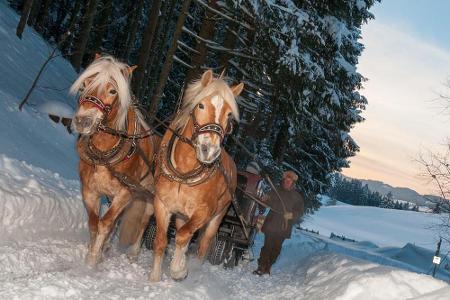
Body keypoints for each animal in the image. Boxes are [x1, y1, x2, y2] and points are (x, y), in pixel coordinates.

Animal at [69, 55, 159, 266]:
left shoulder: (125, 193)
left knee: (143, 222)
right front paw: (94, 251)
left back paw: (133, 252)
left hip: (150, 198)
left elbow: (106, 223)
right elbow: (95, 223)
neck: (104, 153)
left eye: (112, 91)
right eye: (85, 84)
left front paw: (93, 260)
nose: (82, 121)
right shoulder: (90, 190)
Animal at [150, 68, 243, 282]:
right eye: (201, 105)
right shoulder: (162, 204)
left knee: (202, 245)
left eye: (229, 114)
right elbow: (161, 240)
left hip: (218, 216)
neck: (184, 173)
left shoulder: (203, 212)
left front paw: (178, 269)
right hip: (181, 214)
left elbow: (183, 237)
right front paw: (155, 276)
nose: (210, 150)